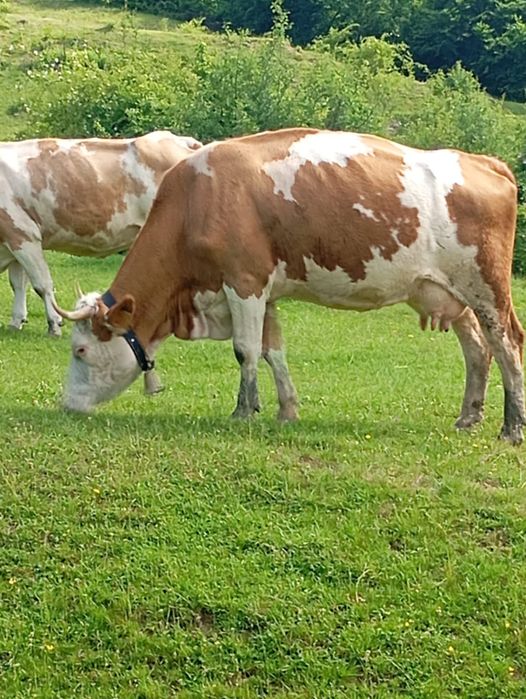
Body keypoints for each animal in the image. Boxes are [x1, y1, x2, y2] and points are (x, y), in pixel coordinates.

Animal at [0, 130, 202, 336]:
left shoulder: (23, 234)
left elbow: (42, 285)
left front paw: (54, 324)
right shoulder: (15, 240)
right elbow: (18, 283)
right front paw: (16, 322)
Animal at [54, 127, 525, 443]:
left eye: (81, 351)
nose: (67, 405)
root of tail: (485, 162)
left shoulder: (243, 282)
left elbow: (245, 350)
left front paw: (243, 411)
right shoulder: (266, 291)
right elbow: (272, 352)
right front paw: (286, 410)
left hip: (487, 288)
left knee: (507, 344)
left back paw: (512, 427)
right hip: (451, 294)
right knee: (477, 350)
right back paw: (469, 417)